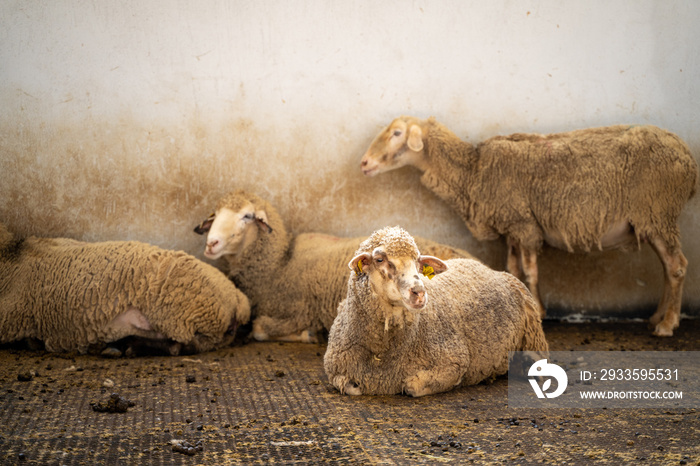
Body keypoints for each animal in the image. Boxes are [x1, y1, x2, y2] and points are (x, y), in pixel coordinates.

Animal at [194, 188, 474, 342]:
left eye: (247, 216)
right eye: (215, 215)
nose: (211, 243)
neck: (280, 263)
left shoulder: (300, 310)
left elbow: (260, 328)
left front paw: (309, 335)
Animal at [322, 226, 548, 396]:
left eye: (418, 262)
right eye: (379, 260)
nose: (419, 292)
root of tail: (492, 269)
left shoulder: (453, 361)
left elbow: (411, 386)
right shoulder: (336, 372)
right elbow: (353, 388)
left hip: (533, 335)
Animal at [364, 115, 696, 334]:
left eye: (396, 132)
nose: (364, 164)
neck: (473, 169)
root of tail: (688, 158)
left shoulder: (524, 224)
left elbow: (531, 271)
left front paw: (537, 309)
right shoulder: (512, 226)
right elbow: (513, 269)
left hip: (659, 212)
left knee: (677, 266)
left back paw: (667, 324)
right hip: (655, 219)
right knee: (668, 268)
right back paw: (657, 316)